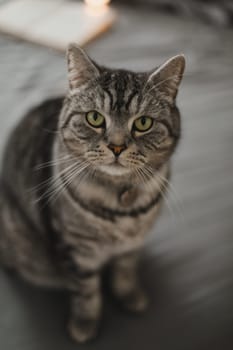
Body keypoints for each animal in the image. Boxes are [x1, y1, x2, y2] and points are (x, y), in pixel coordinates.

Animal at [0, 43, 186, 342]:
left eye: (143, 123)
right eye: (95, 118)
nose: (117, 146)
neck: (121, 200)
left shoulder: (132, 244)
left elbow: (126, 269)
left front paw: (130, 295)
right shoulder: (77, 251)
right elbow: (86, 292)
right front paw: (84, 324)